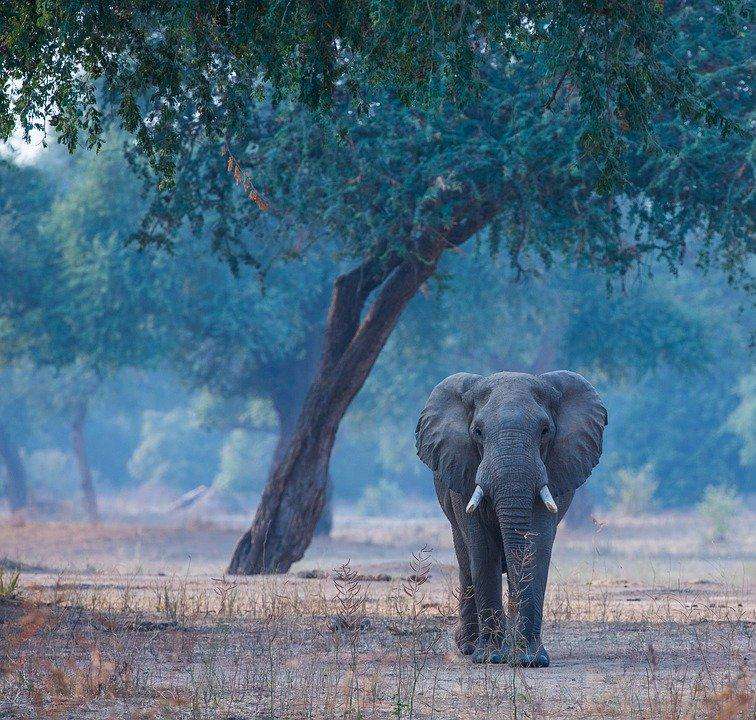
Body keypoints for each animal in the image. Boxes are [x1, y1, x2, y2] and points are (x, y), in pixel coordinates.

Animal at [416, 370, 607, 666]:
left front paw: (530, 660)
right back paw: (469, 647)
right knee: (466, 560)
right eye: (478, 432)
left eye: (545, 431)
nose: (515, 654)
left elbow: (535, 545)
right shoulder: (464, 470)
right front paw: (490, 657)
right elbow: (482, 551)